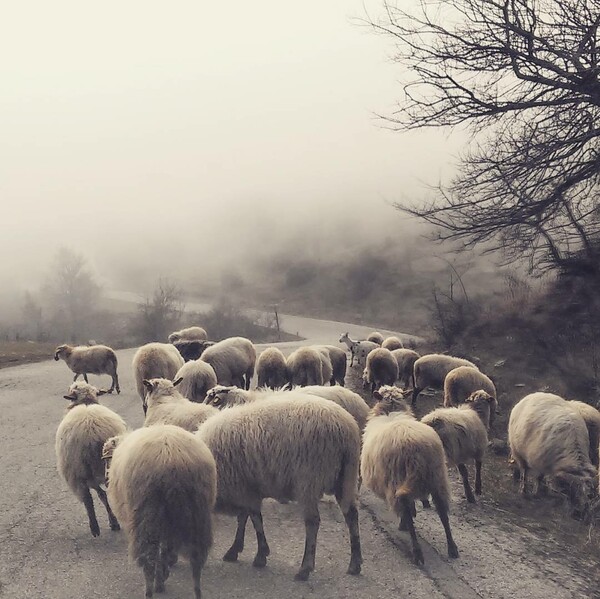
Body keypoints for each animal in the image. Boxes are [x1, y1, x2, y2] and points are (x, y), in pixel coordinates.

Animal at [55, 384, 127, 540]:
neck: (86, 402)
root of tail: (91, 433)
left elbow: (99, 496)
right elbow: (102, 495)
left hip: (78, 471)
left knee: (88, 500)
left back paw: (95, 527)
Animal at [102, 426, 216, 599]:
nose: (106, 479)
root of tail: (172, 459)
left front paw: (162, 576)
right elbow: (167, 550)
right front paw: (165, 570)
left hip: (148, 514)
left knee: (149, 558)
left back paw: (150, 589)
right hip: (197, 513)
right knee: (196, 560)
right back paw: (196, 591)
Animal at [199, 394, 364, 580]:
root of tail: (345, 427)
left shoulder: (244, 488)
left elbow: (255, 519)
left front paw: (260, 555)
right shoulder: (248, 488)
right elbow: (244, 518)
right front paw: (236, 550)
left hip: (308, 479)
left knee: (313, 522)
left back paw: (305, 568)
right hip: (346, 477)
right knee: (351, 515)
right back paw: (355, 564)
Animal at [360, 386, 460, 564]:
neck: (391, 411)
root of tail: (416, 449)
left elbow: (408, 509)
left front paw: (403, 524)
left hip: (397, 481)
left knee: (406, 508)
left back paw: (416, 551)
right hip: (437, 478)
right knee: (443, 512)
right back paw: (452, 547)